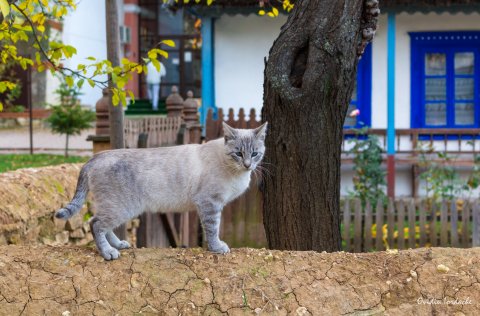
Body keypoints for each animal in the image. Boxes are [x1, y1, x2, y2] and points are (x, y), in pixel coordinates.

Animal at [55, 122, 268, 260]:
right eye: (238, 153)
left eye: (255, 154)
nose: (248, 165)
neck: (235, 171)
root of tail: (96, 156)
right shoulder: (210, 203)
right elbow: (212, 228)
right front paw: (217, 248)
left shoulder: (212, 204)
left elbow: (212, 228)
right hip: (121, 208)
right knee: (96, 224)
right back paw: (108, 252)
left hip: (117, 208)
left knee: (101, 224)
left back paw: (118, 245)